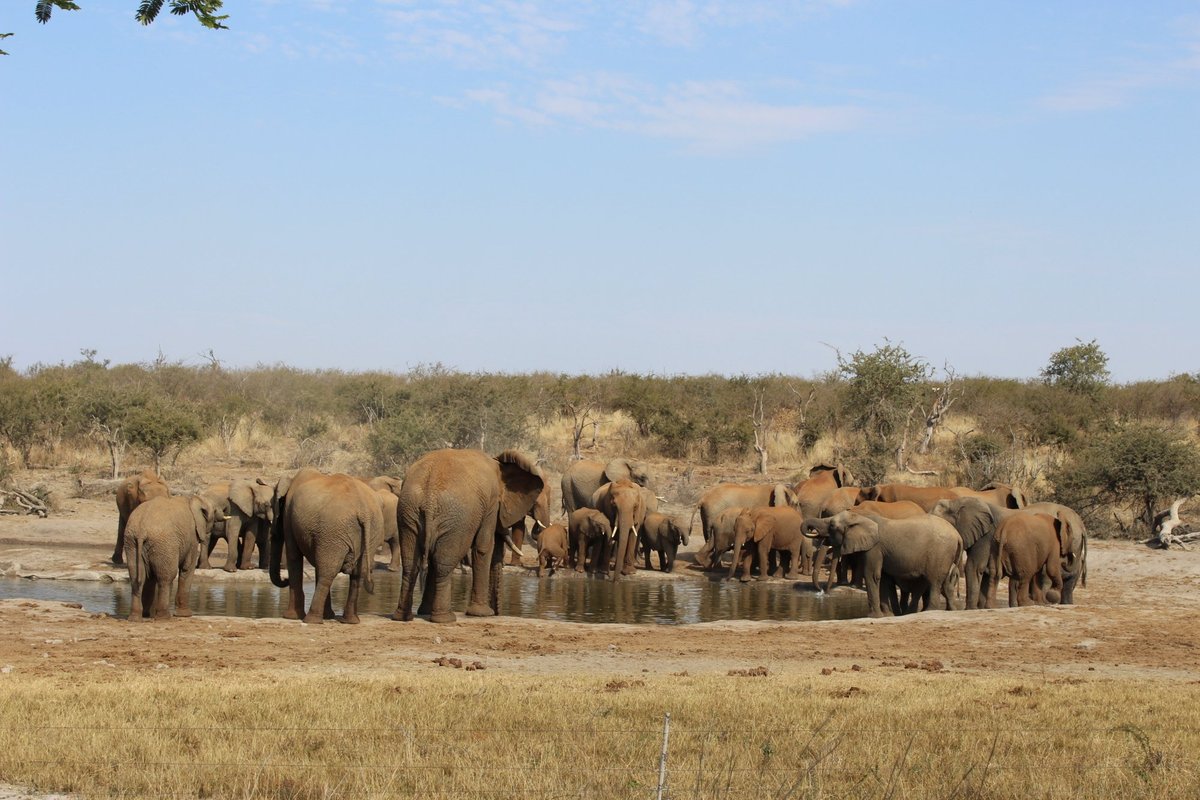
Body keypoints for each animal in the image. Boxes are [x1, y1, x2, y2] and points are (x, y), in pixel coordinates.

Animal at [271, 470, 384, 623]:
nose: (285, 579)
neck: (291, 478)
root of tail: (363, 510)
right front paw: (328, 616)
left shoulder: (289, 516)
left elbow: (294, 556)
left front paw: (290, 617)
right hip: (371, 531)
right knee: (357, 573)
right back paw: (350, 621)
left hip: (334, 530)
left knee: (327, 572)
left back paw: (311, 620)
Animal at [393, 448, 544, 623]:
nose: (497, 613)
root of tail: (429, 496)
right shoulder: (491, 503)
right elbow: (484, 546)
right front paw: (483, 614)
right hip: (454, 520)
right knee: (443, 564)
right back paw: (445, 618)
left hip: (408, 511)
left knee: (411, 563)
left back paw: (404, 617)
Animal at [801, 513, 960, 618]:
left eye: (832, 526)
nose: (822, 591)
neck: (860, 517)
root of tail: (958, 535)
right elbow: (883, 578)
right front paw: (887, 615)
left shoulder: (874, 548)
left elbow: (872, 575)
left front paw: (873, 616)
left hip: (941, 553)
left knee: (934, 581)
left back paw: (929, 611)